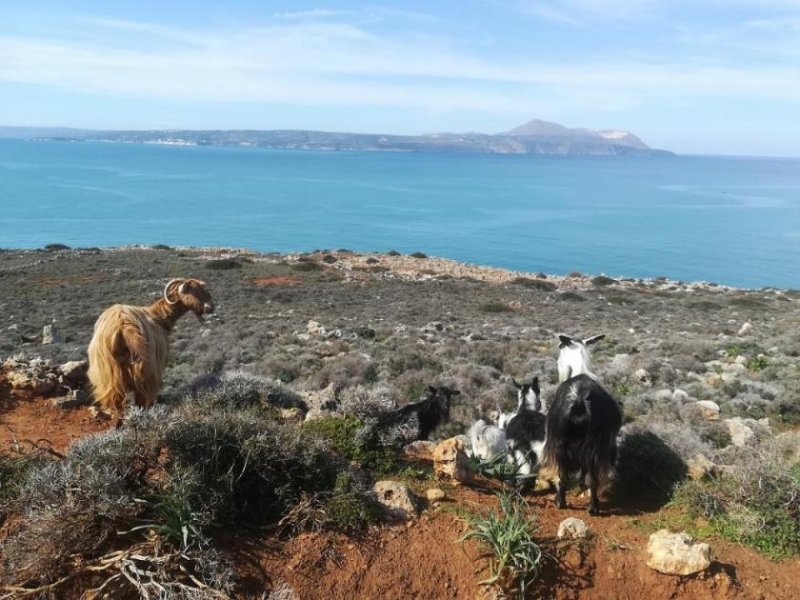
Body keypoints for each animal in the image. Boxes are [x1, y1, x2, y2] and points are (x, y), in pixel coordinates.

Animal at [87, 278, 214, 422]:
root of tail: (121, 326)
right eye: (194, 290)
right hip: (144, 372)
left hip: (109, 376)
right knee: (141, 401)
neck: (158, 316)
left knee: (117, 404)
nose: (211, 307)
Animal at [544, 336, 624, 512]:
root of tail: (579, 401)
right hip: (594, 446)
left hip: (559, 443)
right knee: (591, 477)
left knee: (562, 475)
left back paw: (561, 502)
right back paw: (593, 506)